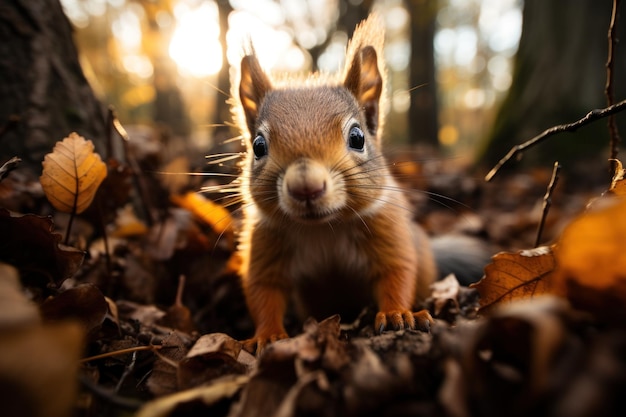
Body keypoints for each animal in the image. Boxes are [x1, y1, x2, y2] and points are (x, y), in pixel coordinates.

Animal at [232, 14, 486, 352]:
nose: (306, 187)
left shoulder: (387, 229)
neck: (323, 229)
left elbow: (396, 272)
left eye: (357, 137)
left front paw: (396, 314)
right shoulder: (266, 243)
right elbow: (263, 290)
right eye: (258, 146)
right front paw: (268, 335)